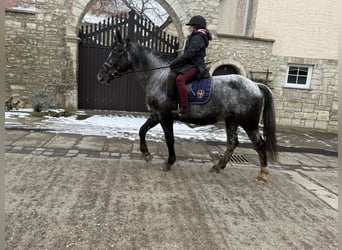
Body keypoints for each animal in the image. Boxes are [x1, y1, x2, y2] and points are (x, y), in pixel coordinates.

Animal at [97, 30, 278, 184]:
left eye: (117, 51)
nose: (101, 76)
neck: (157, 77)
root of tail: (255, 85)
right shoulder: (156, 115)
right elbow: (142, 130)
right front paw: (146, 154)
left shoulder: (164, 116)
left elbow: (169, 138)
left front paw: (168, 162)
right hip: (231, 120)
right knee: (232, 143)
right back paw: (218, 166)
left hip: (249, 123)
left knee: (259, 144)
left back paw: (263, 174)